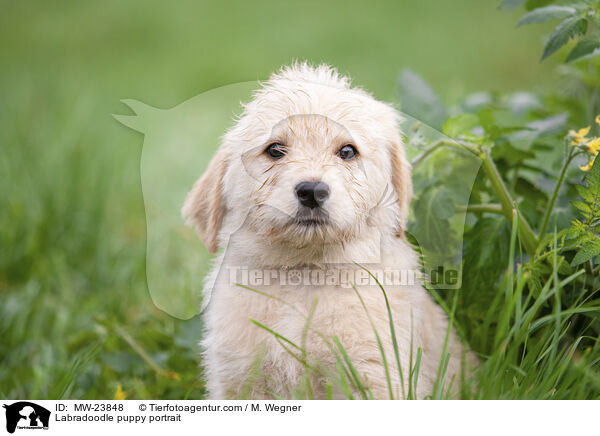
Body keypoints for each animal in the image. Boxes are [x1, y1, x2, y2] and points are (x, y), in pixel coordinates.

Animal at [183, 63, 468, 400]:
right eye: (275, 150)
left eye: (347, 151)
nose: (312, 191)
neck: (305, 274)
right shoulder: (239, 380)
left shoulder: (377, 375)